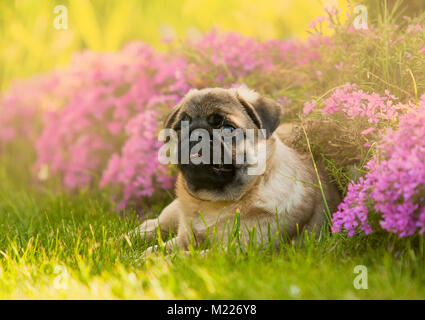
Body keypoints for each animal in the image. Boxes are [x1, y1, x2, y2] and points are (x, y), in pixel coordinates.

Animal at [134, 87, 340, 252]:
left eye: (227, 128)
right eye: (179, 128)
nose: (195, 132)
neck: (214, 202)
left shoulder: (233, 250)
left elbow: (184, 257)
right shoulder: (184, 239)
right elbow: (157, 249)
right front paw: (144, 257)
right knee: (154, 225)